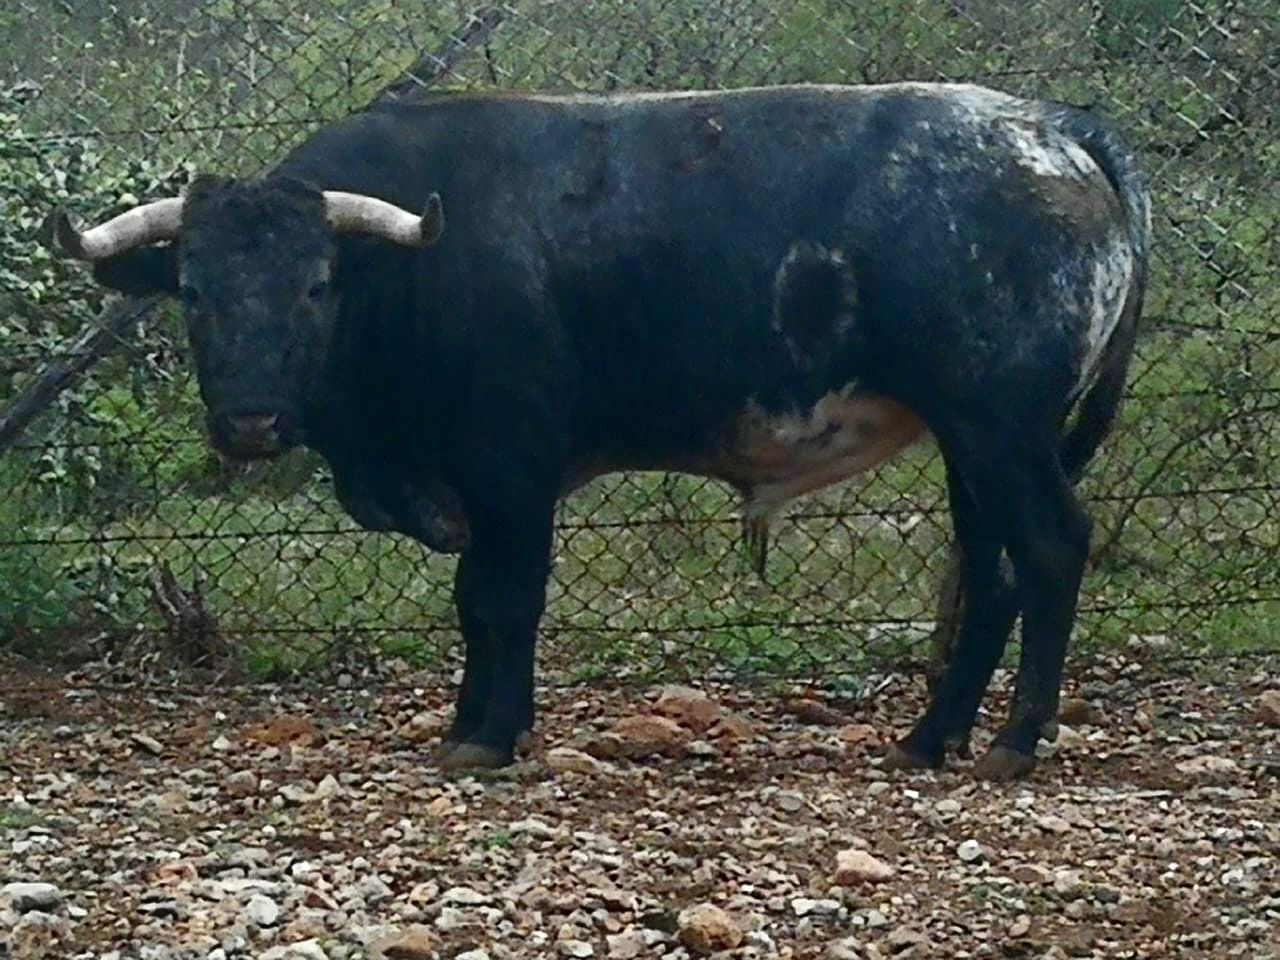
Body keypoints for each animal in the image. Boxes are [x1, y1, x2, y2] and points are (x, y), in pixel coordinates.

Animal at [47, 84, 1152, 783]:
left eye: (316, 285)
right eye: (193, 291)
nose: (250, 422)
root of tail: (1046, 125)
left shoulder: (511, 468)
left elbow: (500, 601)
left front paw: (491, 735)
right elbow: (473, 606)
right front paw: (473, 721)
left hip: (1001, 428)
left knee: (1050, 549)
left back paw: (1014, 742)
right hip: (972, 440)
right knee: (993, 574)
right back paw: (929, 740)